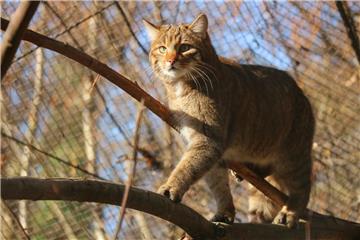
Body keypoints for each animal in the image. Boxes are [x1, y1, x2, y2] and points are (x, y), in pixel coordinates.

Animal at [143, 13, 316, 227]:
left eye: (184, 47)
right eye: (162, 48)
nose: (170, 60)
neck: (181, 88)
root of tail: (302, 94)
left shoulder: (208, 140)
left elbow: (188, 167)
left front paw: (171, 187)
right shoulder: (206, 143)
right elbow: (218, 185)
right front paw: (225, 212)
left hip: (293, 156)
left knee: (304, 187)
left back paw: (290, 213)